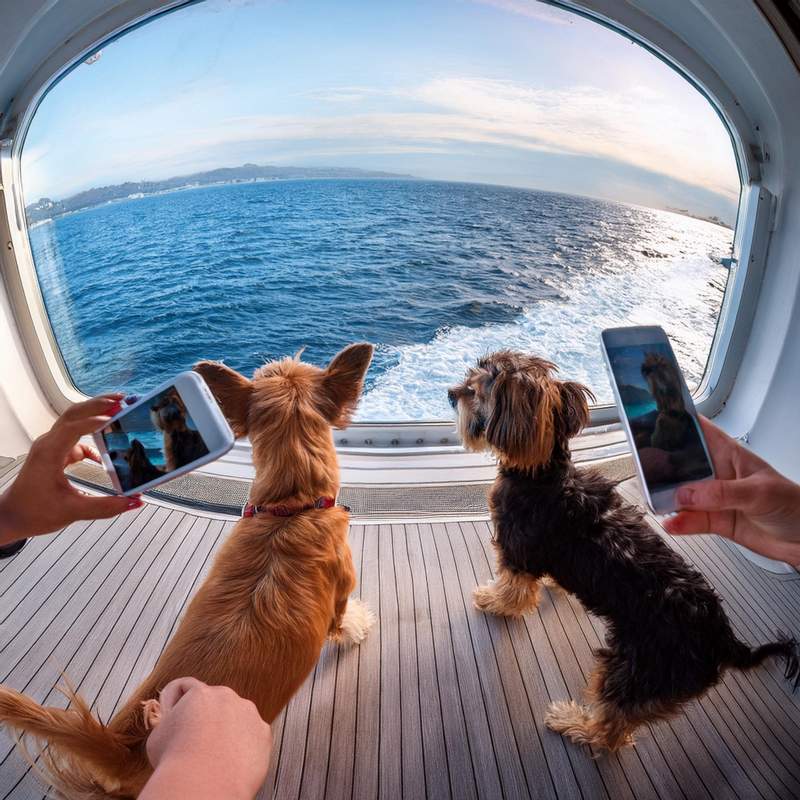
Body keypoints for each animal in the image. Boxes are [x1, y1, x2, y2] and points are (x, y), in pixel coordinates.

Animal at [446, 350, 796, 752]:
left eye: (475, 391)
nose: (451, 394)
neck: (543, 475)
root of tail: (724, 643)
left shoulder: (517, 550)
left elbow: (513, 590)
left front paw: (493, 600)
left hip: (638, 670)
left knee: (612, 724)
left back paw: (575, 724)